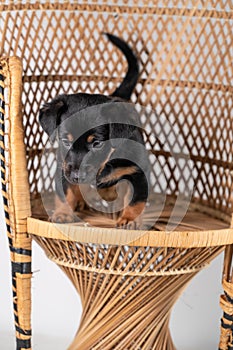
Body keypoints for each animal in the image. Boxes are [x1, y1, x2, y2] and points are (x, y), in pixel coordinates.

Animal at [39, 33, 149, 227]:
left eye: (97, 144)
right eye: (65, 141)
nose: (77, 175)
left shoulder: (137, 171)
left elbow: (135, 199)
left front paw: (129, 219)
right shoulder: (64, 167)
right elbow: (65, 192)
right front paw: (63, 213)